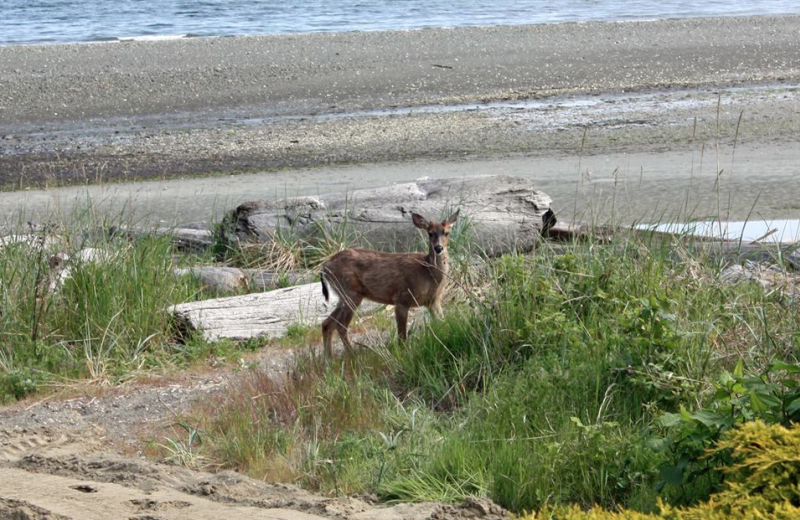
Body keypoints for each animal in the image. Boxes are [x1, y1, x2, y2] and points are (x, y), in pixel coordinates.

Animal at [318, 208, 460, 358]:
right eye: (430, 233)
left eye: (447, 232)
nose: (438, 248)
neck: (427, 274)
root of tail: (324, 266)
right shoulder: (402, 298)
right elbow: (402, 336)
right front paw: (404, 355)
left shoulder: (433, 301)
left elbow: (442, 324)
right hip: (350, 292)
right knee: (341, 325)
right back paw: (352, 355)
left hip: (344, 295)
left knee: (327, 323)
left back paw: (329, 358)